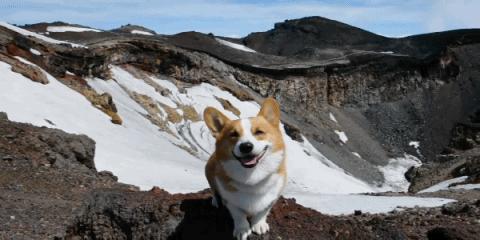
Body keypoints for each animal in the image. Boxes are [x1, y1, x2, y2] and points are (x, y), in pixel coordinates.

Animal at [202, 98, 284, 240]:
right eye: (233, 134)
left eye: (259, 132)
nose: (246, 146)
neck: (252, 177)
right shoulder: (231, 201)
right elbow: (239, 215)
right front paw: (242, 229)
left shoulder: (272, 199)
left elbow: (262, 212)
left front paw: (259, 224)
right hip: (208, 171)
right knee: (214, 190)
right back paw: (216, 201)